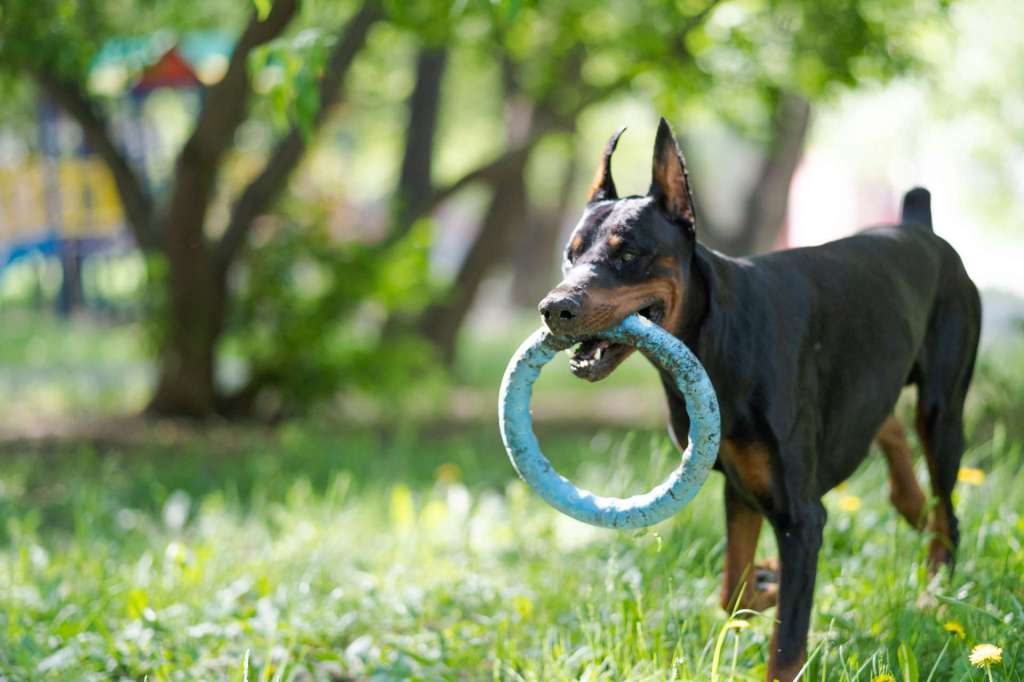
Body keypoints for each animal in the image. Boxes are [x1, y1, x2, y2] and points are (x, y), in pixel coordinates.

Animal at [540, 118, 978, 679]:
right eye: (571, 253)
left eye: (629, 253)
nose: (554, 307)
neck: (720, 337)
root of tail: (919, 227)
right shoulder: (740, 485)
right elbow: (734, 593)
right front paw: (767, 576)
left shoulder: (800, 517)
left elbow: (785, 647)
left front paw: (775, 589)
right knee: (891, 433)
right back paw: (912, 503)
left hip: (943, 409)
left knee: (949, 516)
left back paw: (933, 593)